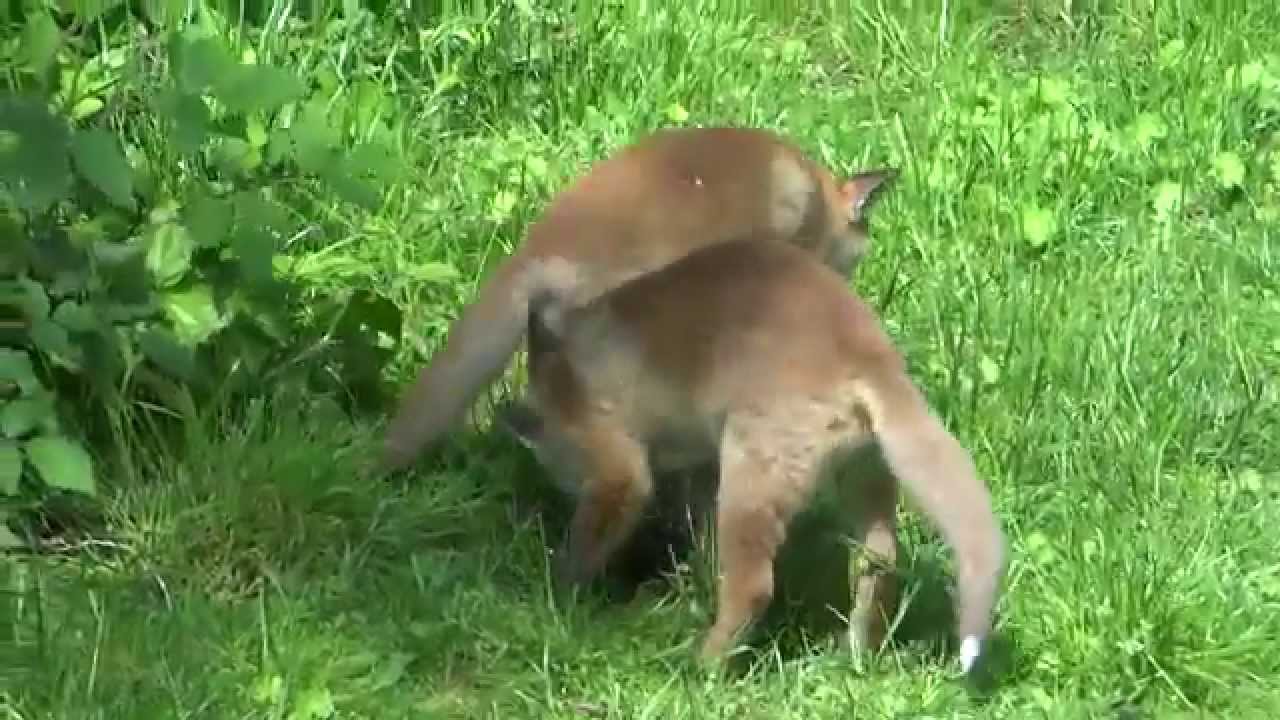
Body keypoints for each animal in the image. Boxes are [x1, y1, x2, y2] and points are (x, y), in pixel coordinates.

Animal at [498, 236, 1006, 675]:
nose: (565, 486)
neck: (563, 375)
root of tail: (867, 354)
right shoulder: (698, 461)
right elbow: (697, 529)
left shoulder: (619, 465)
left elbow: (590, 537)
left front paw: (558, 597)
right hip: (865, 475)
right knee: (880, 559)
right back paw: (857, 652)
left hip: (751, 476)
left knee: (755, 587)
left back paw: (704, 666)